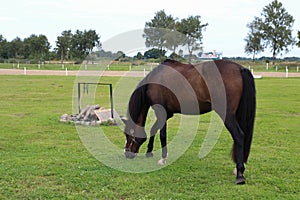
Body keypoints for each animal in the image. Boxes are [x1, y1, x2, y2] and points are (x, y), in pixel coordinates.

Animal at [122, 58, 255, 184]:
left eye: (128, 135)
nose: (127, 154)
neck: (154, 81)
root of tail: (240, 69)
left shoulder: (161, 112)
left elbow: (162, 135)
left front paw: (162, 159)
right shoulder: (167, 114)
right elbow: (154, 129)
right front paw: (149, 152)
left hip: (227, 115)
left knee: (239, 136)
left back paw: (240, 174)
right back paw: (238, 168)